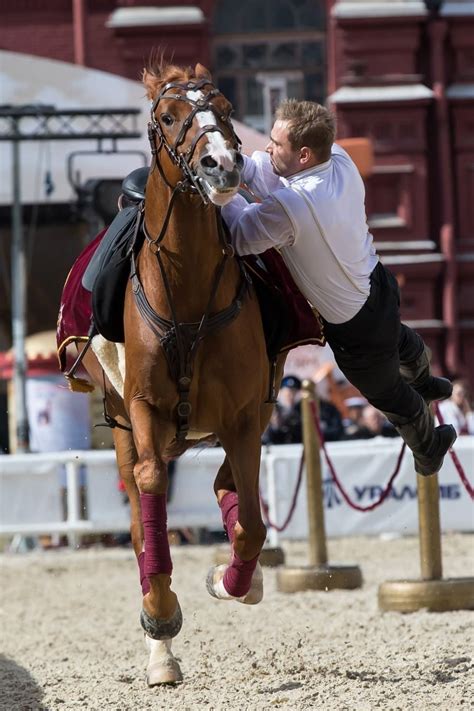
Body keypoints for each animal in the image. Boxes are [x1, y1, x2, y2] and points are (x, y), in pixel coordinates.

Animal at [74, 64, 282, 688]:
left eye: (227, 107)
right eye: (168, 117)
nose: (222, 164)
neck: (187, 290)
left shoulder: (243, 416)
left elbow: (253, 523)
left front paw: (234, 580)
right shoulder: (142, 408)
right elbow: (149, 504)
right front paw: (161, 618)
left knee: (227, 489)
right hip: (123, 422)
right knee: (144, 519)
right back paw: (160, 646)